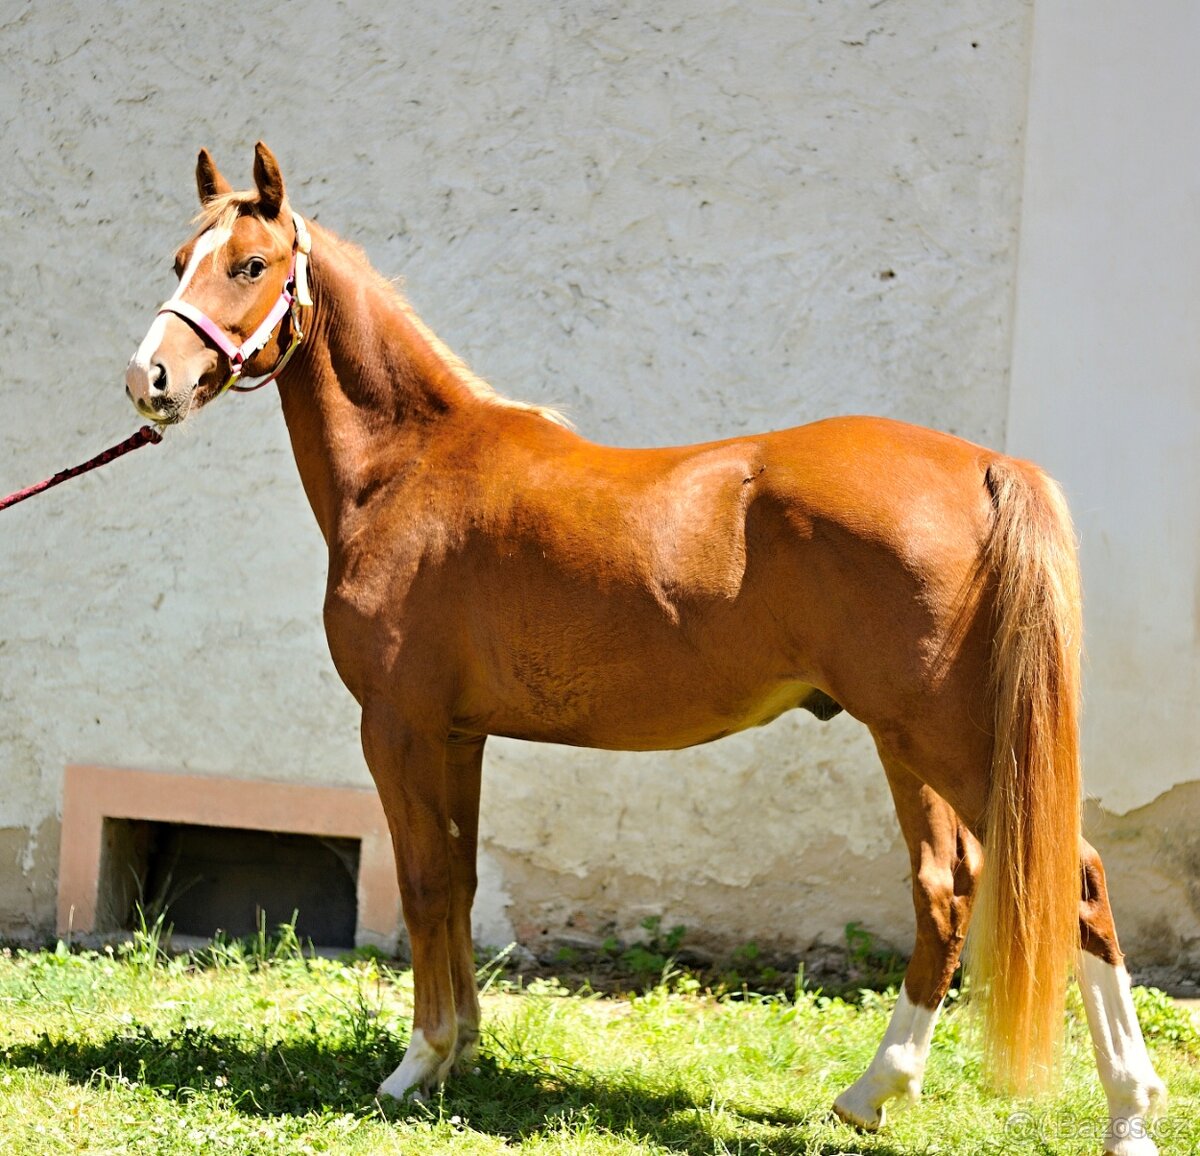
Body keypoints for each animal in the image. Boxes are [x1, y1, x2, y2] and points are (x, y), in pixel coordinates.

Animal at [124, 143, 1166, 1156]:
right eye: (177, 262)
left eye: (250, 265)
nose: (150, 380)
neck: (410, 468)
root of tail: (986, 467)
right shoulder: (460, 736)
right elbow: (458, 882)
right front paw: (463, 1051)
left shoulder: (399, 727)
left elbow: (421, 886)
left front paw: (415, 1065)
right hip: (910, 743)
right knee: (947, 889)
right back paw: (873, 1094)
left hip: (946, 736)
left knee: (1074, 881)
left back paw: (1128, 1110)